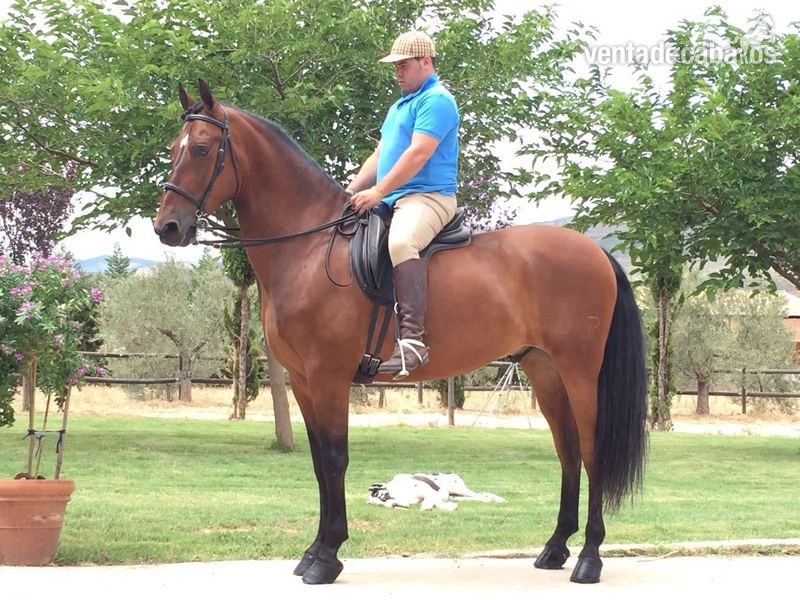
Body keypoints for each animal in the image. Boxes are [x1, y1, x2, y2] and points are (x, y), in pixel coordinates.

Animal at [153, 80, 648, 585]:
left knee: (590, 451)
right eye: (173, 148)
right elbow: (318, 463)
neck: (309, 248)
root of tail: (595, 252)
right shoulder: (304, 382)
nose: (166, 227)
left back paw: (589, 558)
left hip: (580, 373)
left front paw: (327, 557)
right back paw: (554, 548)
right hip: (544, 371)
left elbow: (335, 459)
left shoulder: (329, 378)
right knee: (567, 452)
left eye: (201, 148)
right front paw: (313, 552)